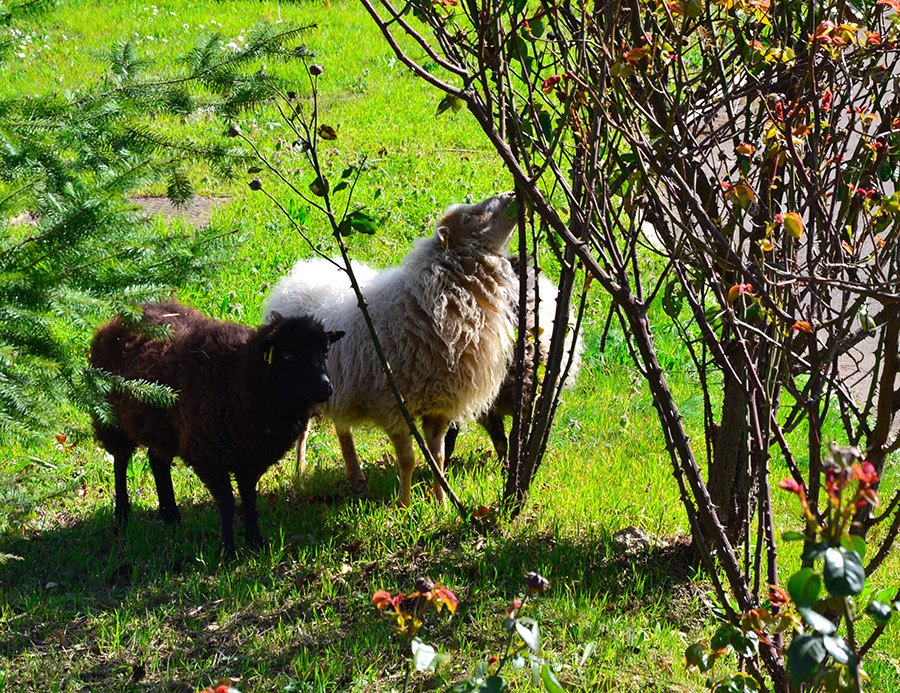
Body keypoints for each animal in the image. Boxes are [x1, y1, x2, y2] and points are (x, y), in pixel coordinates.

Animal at [91, 302, 342, 552]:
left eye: (325, 352)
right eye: (288, 355)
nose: (325, 388)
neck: (242, 380)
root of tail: (122, 316)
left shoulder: (250, 457)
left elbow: (249, 499)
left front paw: (255, 542)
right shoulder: (209, 457)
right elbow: (227, 503)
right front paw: (229, 550)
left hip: (163, 429)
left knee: (157, 461)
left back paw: (171, 517)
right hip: (111, 420)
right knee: (120, 461)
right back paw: (122, 513)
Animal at [264, 192, 516, 506]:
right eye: (471, 216)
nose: (512, 195)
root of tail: (299, 274)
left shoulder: (439, 405)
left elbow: (438, 458)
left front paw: (442, 503)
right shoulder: (393, 404)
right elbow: (407, 460)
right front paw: (404, 505)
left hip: (340, 385)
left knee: (342, 426)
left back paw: (356, 477)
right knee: (305, 428)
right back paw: (300, 471)